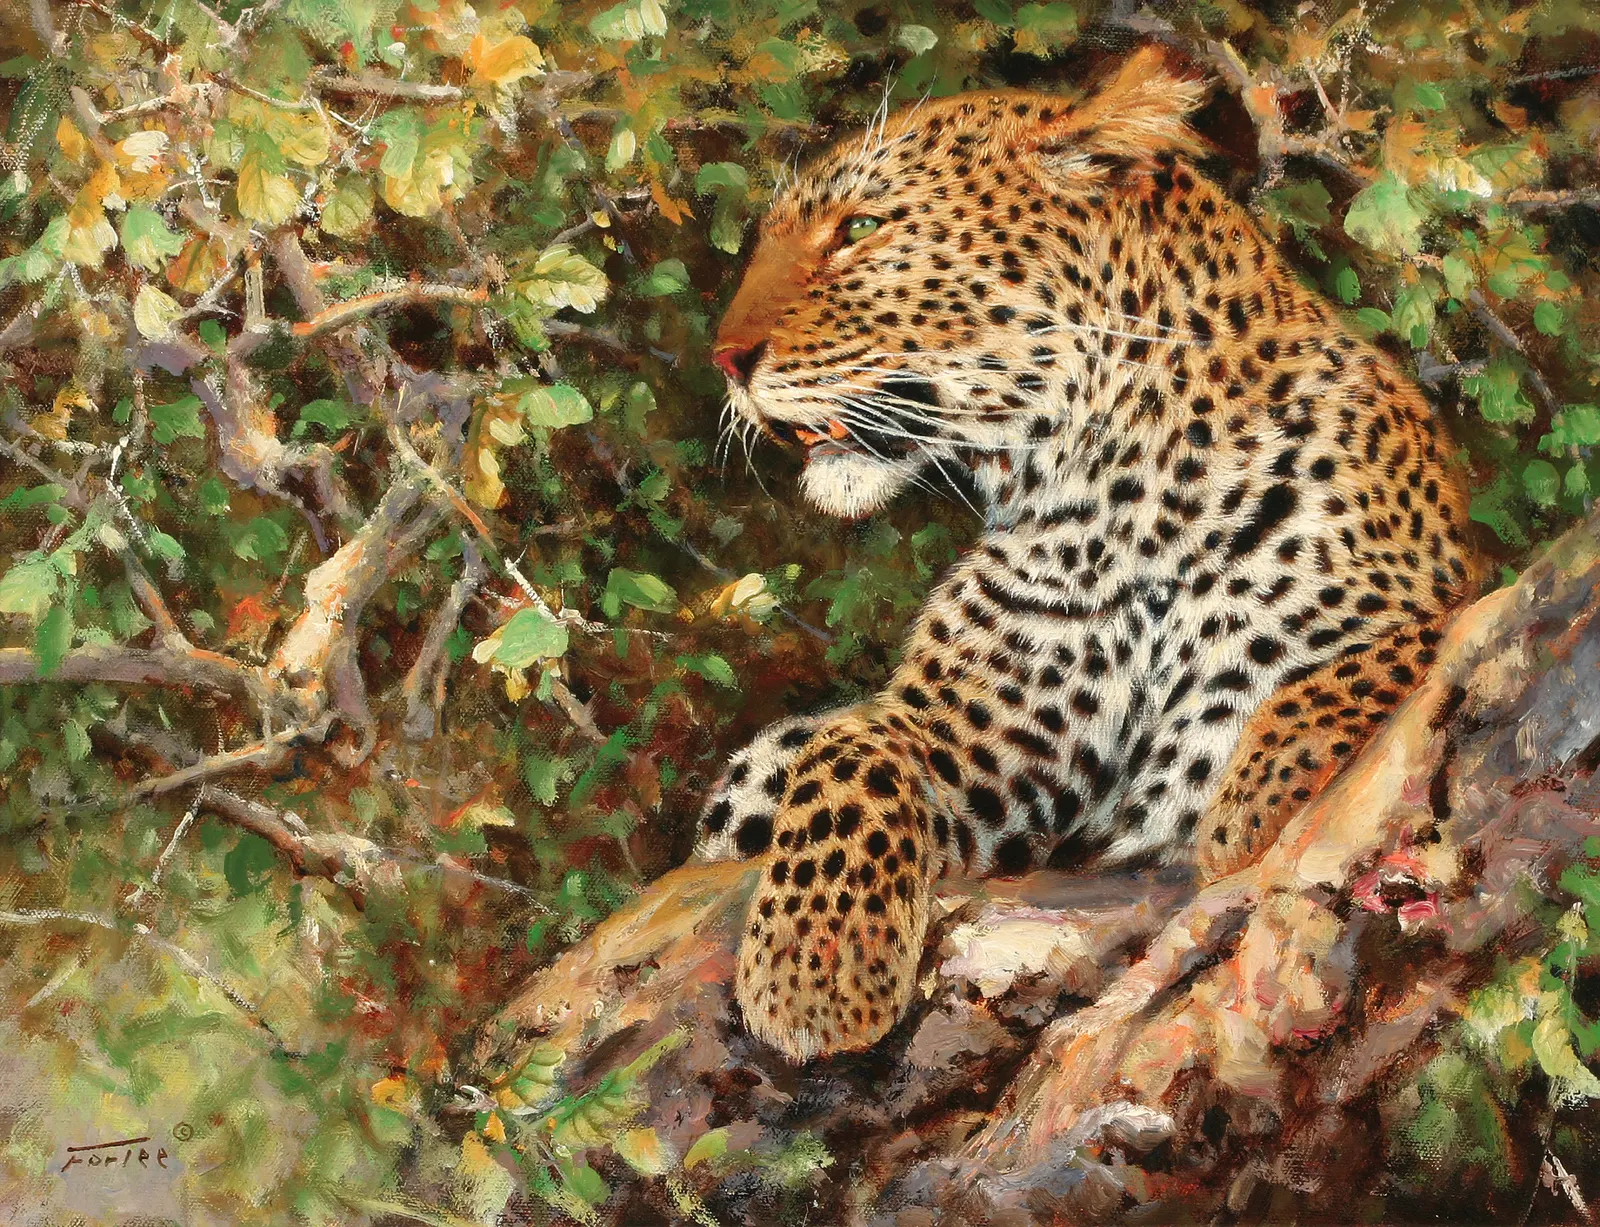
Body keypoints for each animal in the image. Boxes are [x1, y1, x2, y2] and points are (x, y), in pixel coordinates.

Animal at [692, 46, 1485, 1064]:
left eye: (859, 228)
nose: (725, 359)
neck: (1120, 504)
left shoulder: (1415, 606)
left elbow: (1386, 656)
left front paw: (1256, 795)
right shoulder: (995, 740)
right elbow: (855, 745)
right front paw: (814, 970)